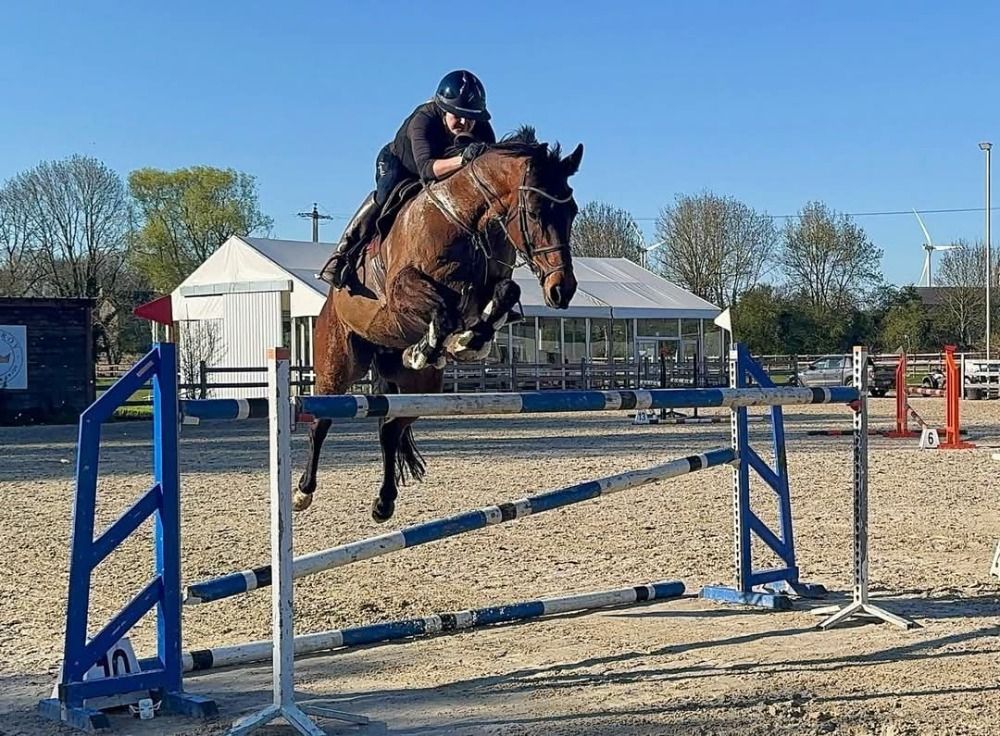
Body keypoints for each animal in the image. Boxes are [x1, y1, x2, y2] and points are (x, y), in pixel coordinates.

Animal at [296, 127, 584, 522]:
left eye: (572, 211)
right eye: (536, 212)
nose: (562, 290)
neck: (465, 220)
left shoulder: (490, 283)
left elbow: (502, 293)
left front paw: (469, 339)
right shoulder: (402, 289)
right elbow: (444, 305)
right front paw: (436, 344)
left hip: (421, 386)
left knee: (391, 430)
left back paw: (384, 502)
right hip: (337, 366)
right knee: (321, 423)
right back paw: (303, 491)